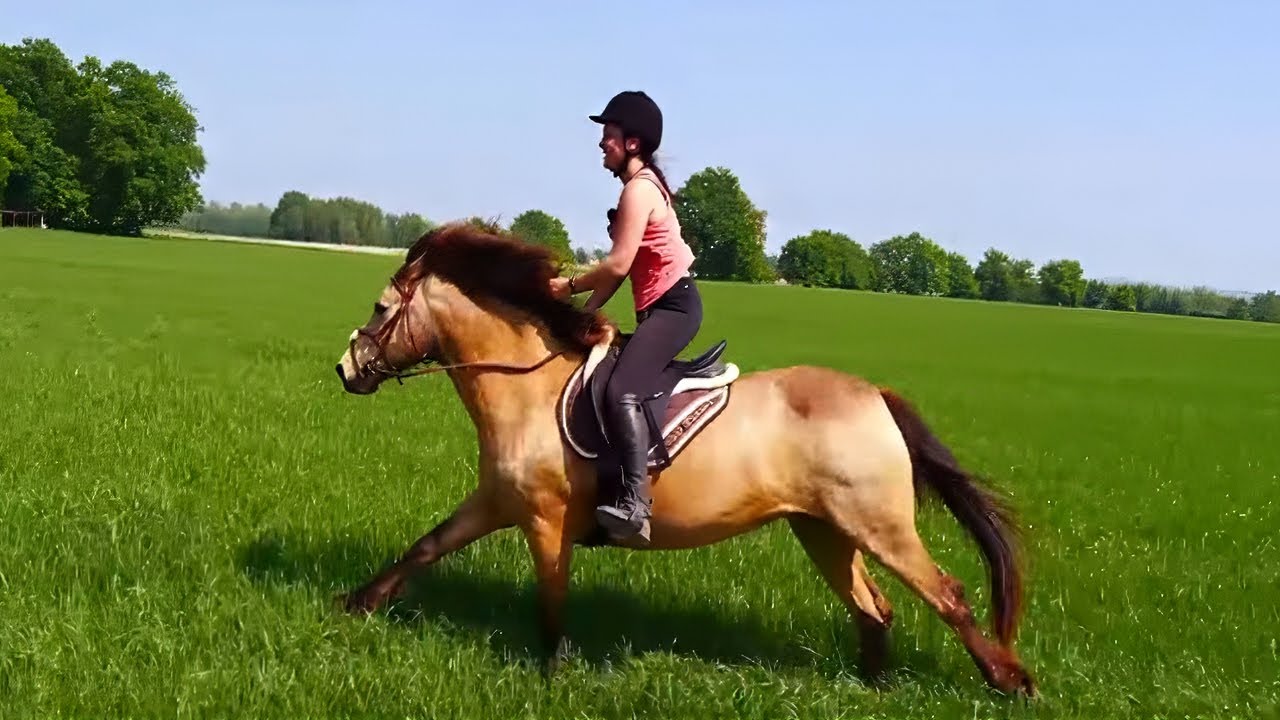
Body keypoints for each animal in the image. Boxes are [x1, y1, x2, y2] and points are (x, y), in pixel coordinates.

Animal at [333, 221, 1037, 696]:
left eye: (379, 308)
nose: (345, 369)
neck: (526, 388)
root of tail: (876, 396)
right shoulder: (496, 502)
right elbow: (425, 547)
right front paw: (356, 603)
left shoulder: (545, 520)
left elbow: (552, 598)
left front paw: (553, 673)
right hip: (824, 530)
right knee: (875, 609)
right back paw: (873, 688)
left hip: (879, 525)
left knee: (947, 594)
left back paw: (1011, 681)